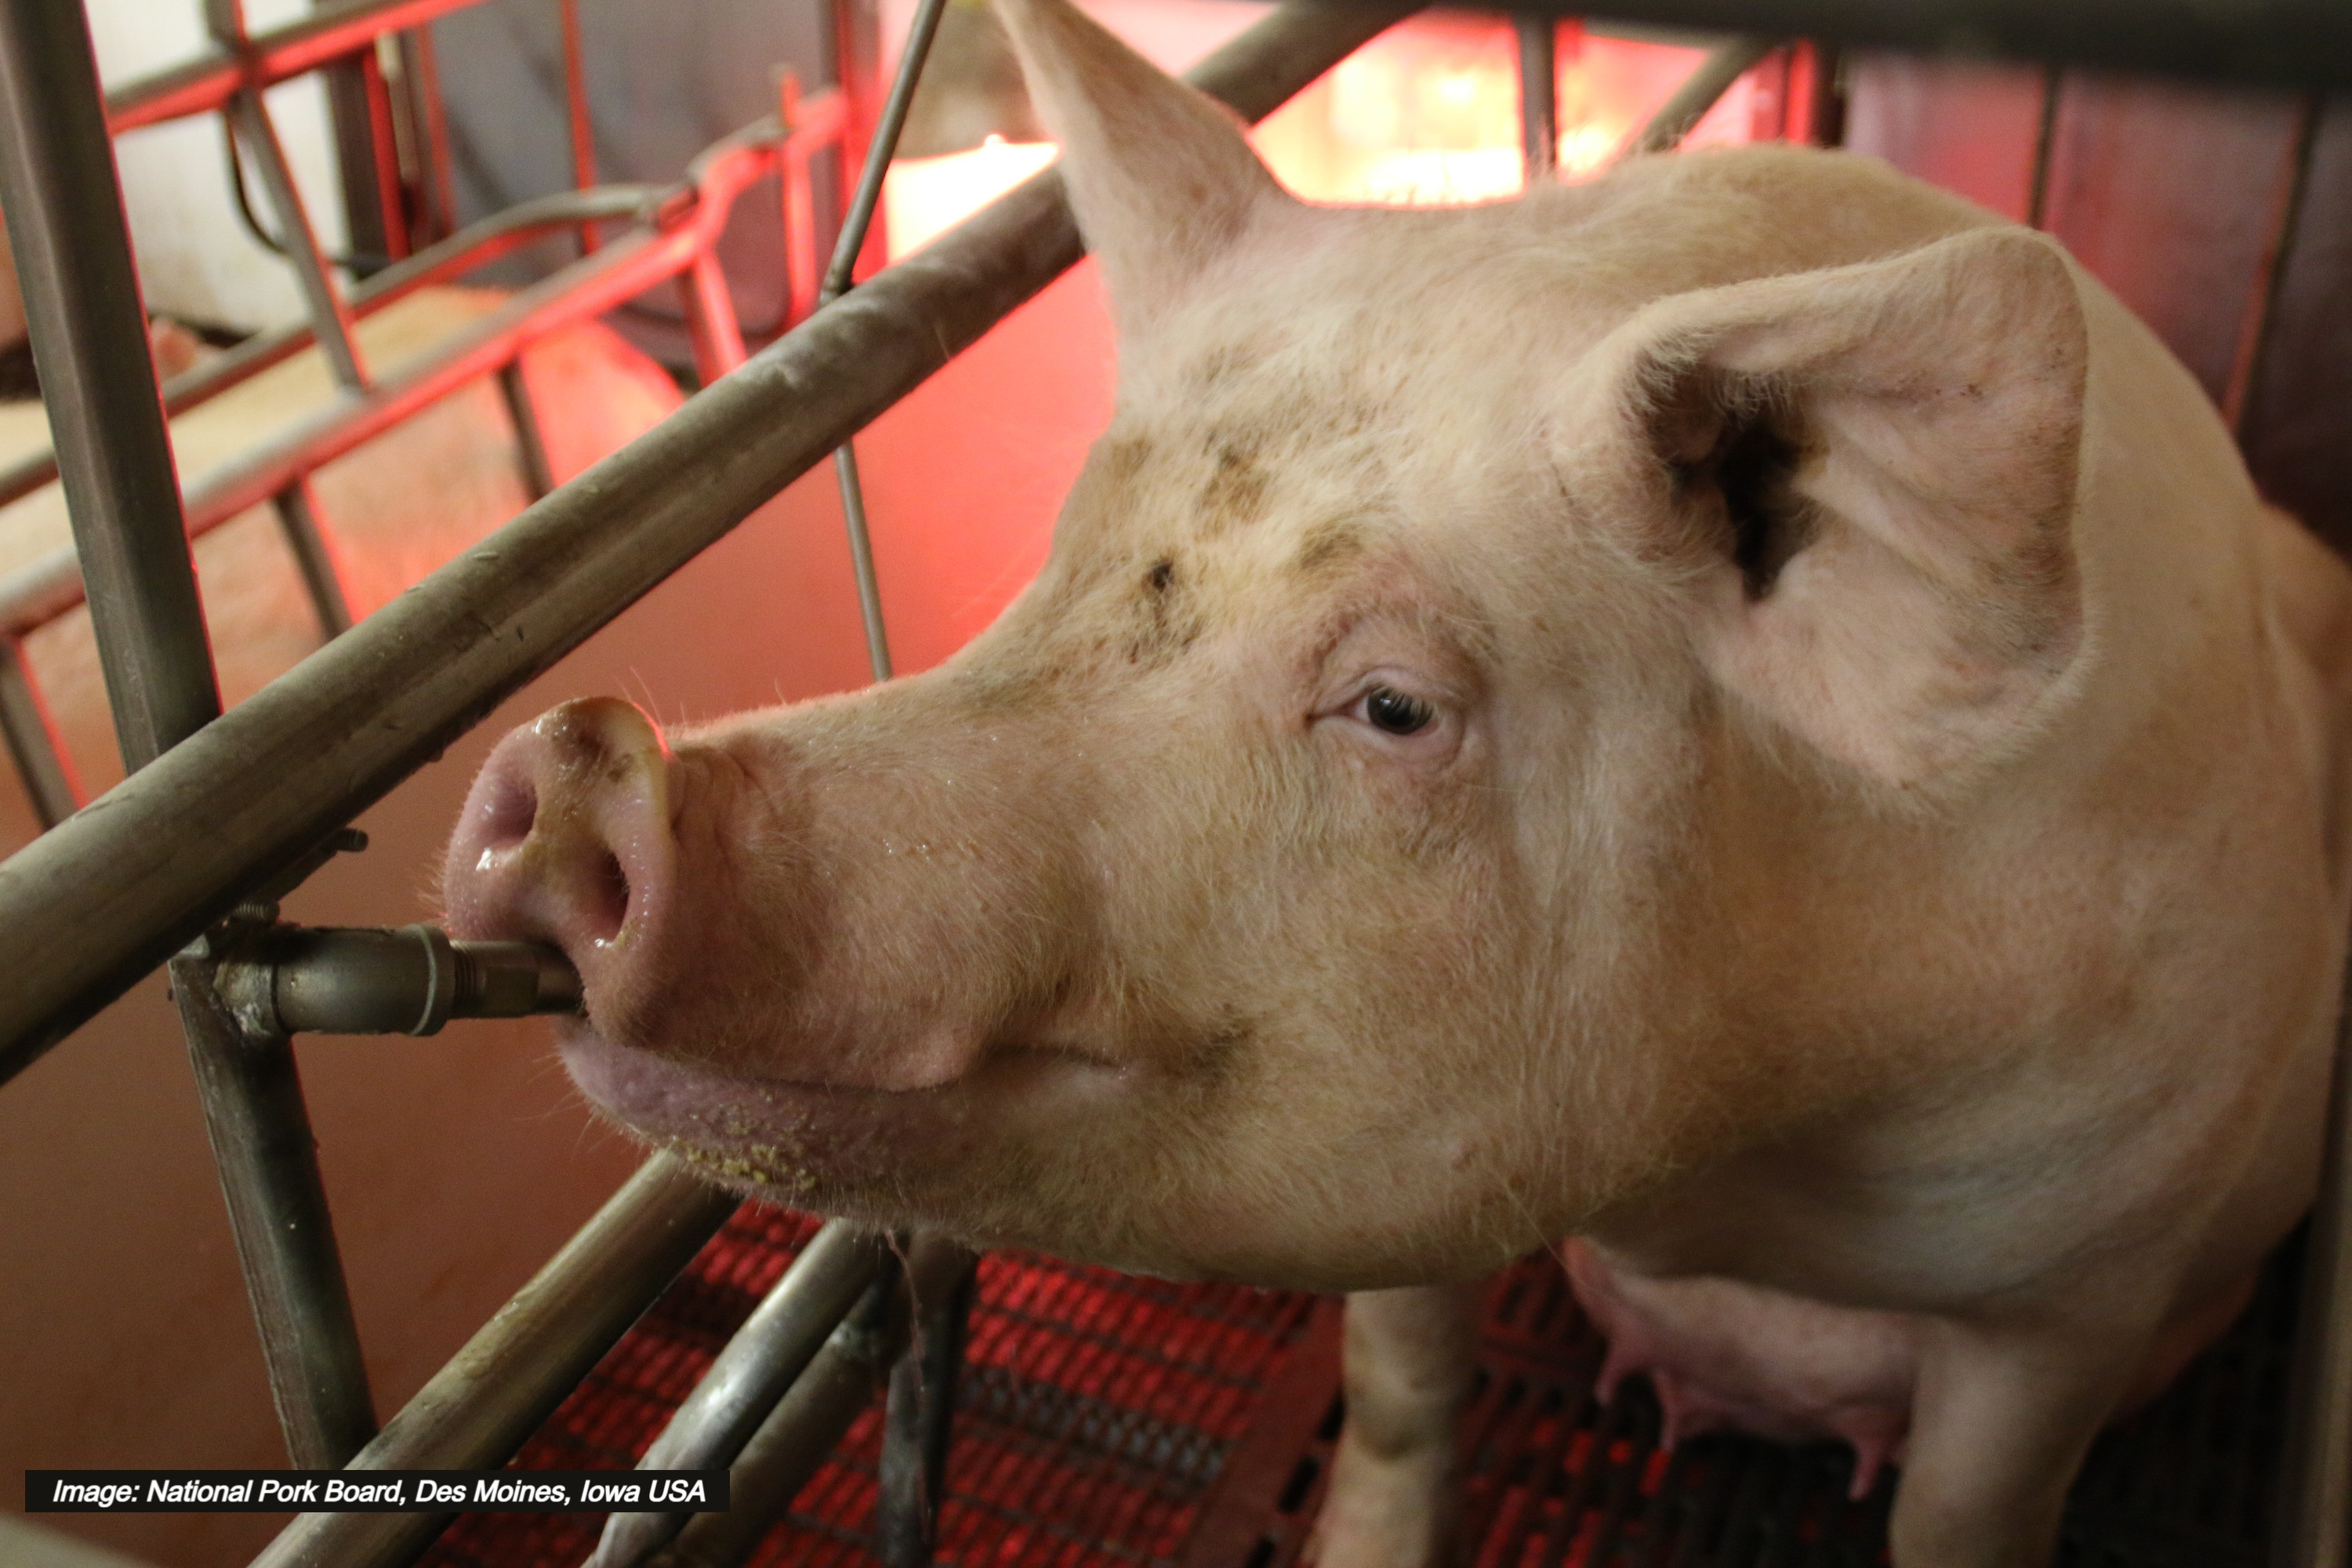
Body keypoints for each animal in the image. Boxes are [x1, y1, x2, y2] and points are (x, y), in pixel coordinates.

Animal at [440, 0, 2352, 1562]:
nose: (587, 765)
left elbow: (1973, 1518)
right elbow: (1404, 1391)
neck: (1743, 1157)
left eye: (1394, 707)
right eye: (1068, 554)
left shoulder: (2083, 1293)